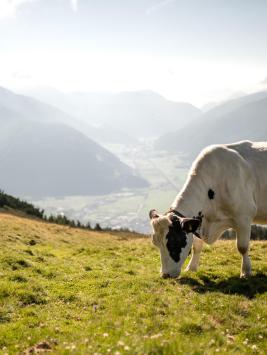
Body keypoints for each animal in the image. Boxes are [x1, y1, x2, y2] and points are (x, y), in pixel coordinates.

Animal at [151, 140, 267, 280]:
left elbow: (242, 247)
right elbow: (196, 246)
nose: (165, 274)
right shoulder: (199, 221)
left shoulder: (244, 216)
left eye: (173, 243)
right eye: (155, 243)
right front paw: (191, 268)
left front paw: (245, 272)